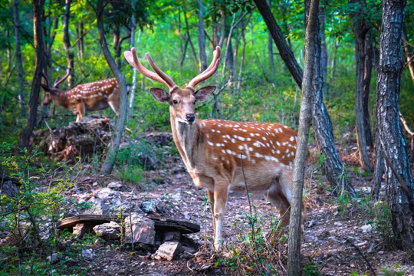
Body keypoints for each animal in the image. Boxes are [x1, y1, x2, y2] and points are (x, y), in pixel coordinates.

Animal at [123, 45, 304, 250]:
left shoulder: (223, 176)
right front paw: (211, 245)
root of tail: (302, 142)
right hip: (271, 185)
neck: (195, 156)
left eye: (194, 101)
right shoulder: (208, 182)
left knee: (301, 208)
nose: (190, 116)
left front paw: (218, 248)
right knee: (285, 210)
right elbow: (210, 212)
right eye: (175, 101)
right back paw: (268, 243)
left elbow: (219, 213)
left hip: (289, 173)